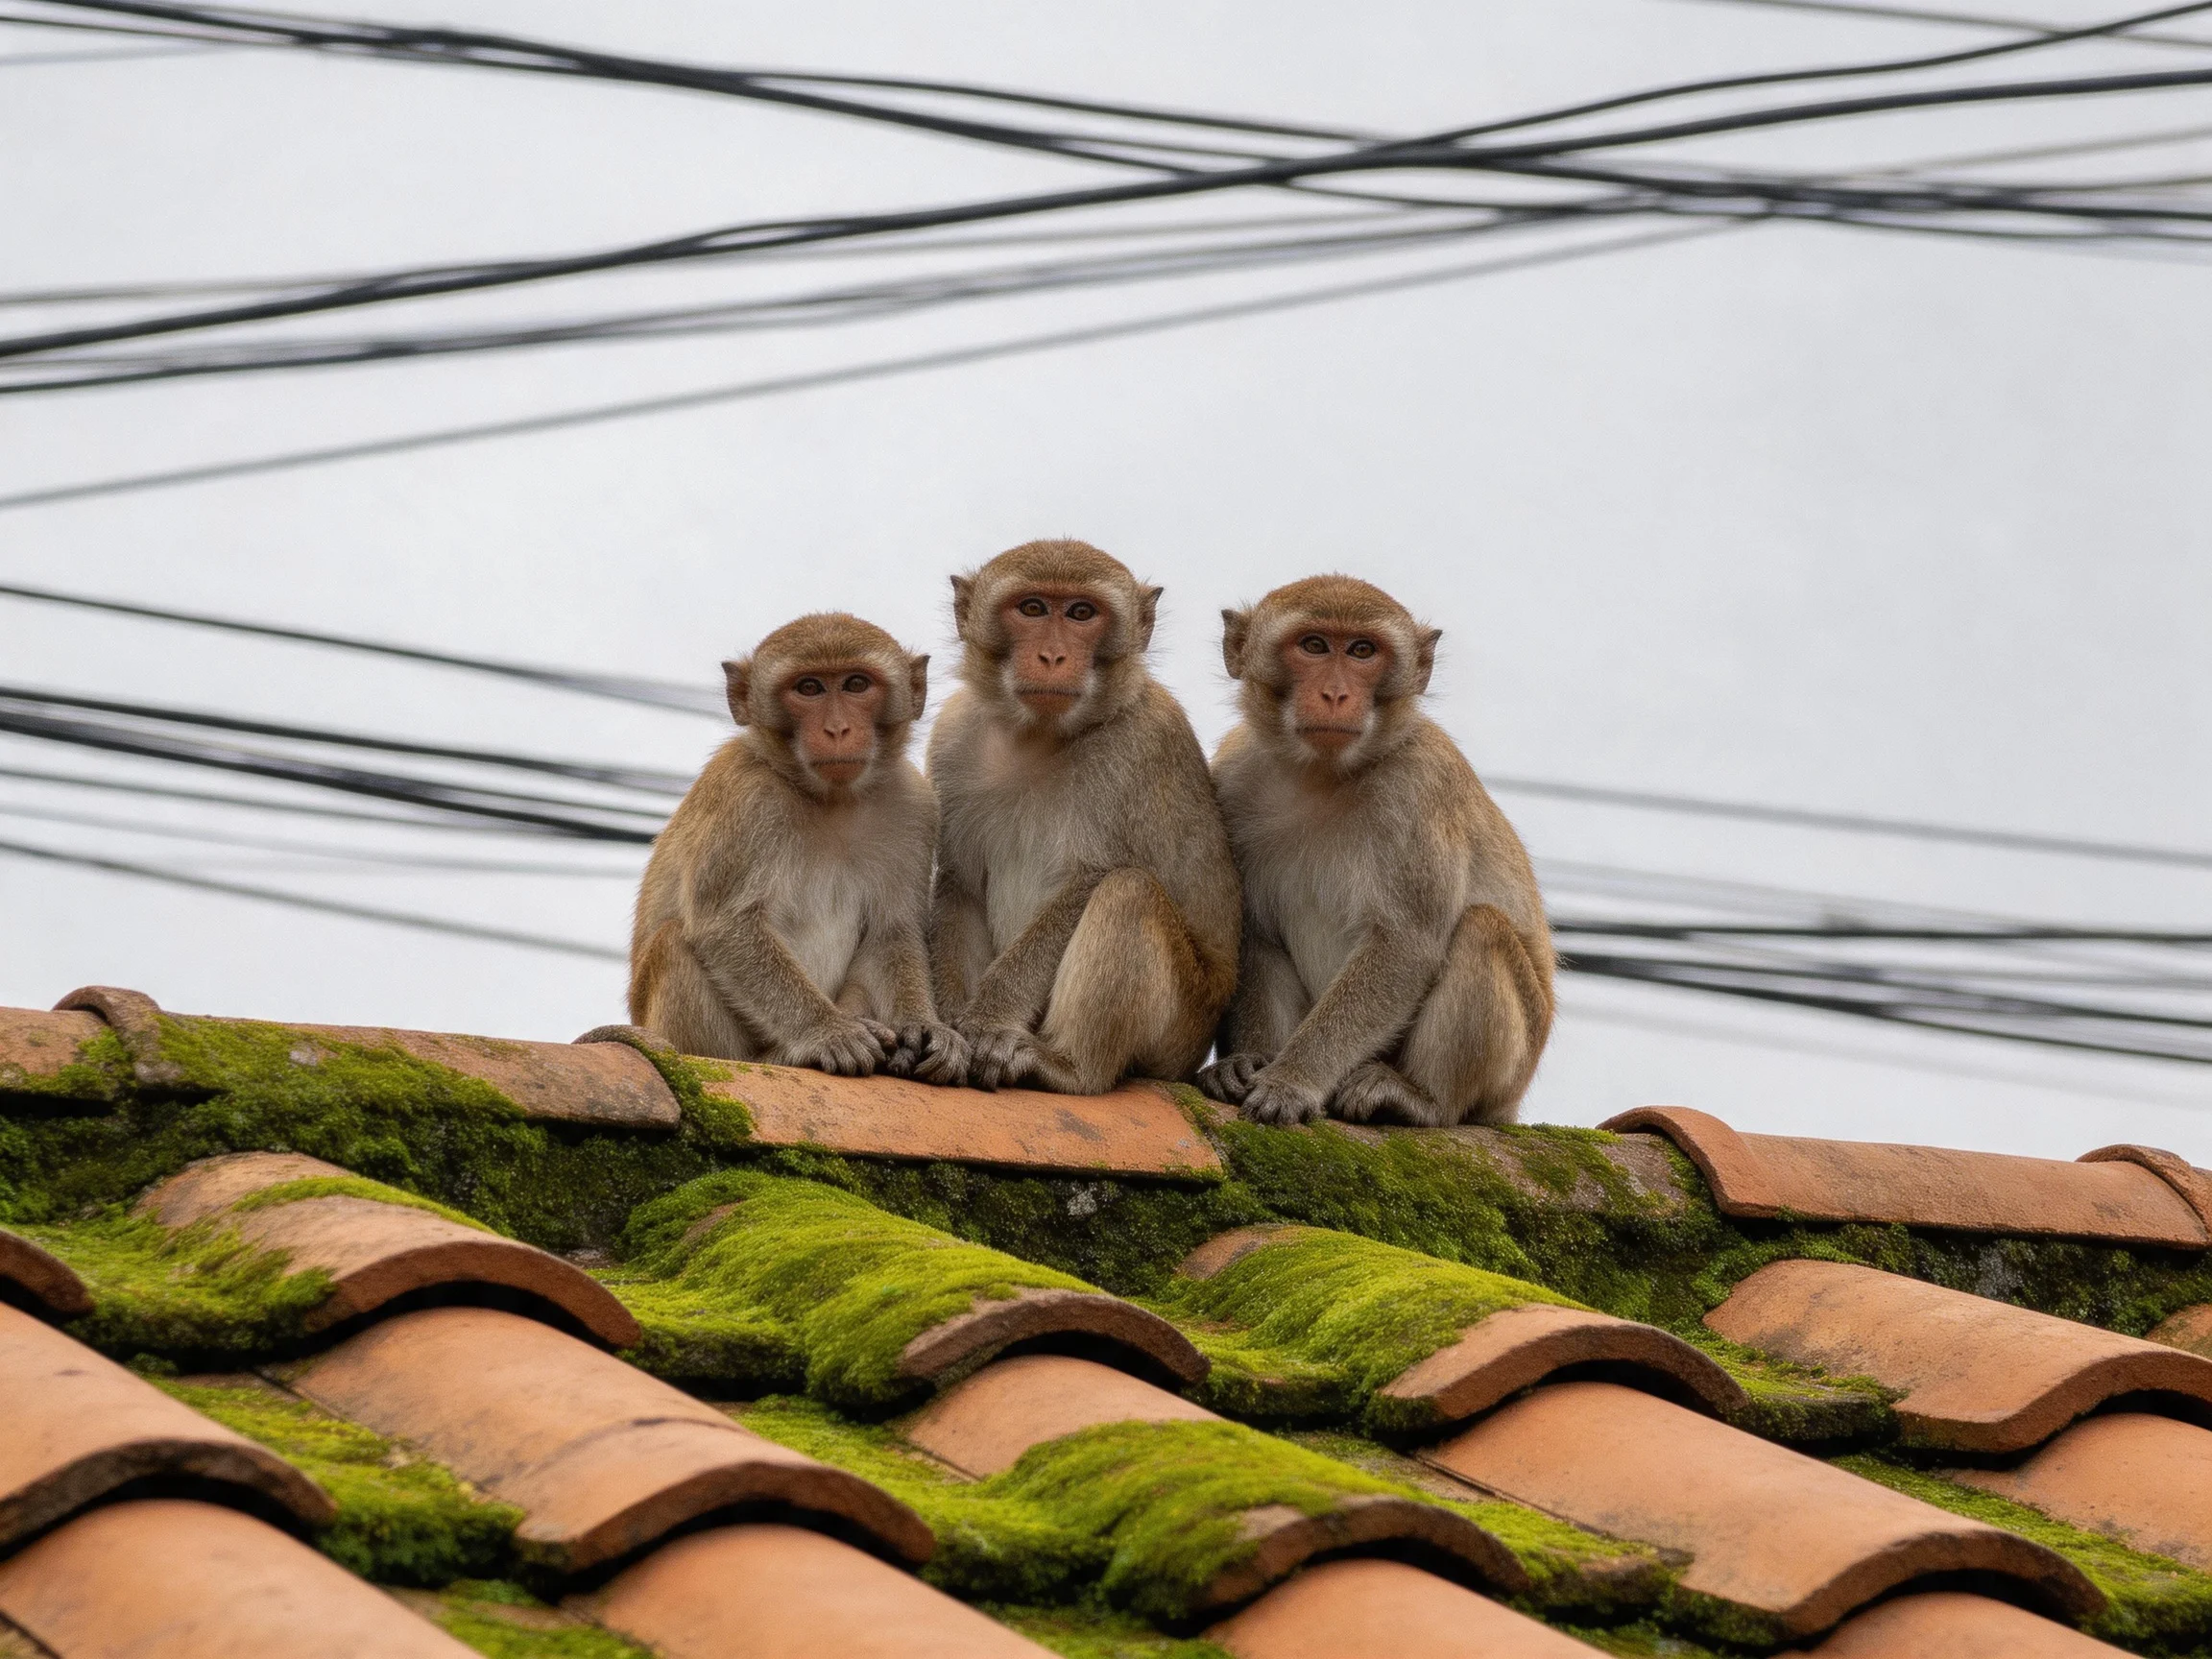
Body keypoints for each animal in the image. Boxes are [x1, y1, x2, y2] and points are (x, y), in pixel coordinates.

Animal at [628, 612, 969, 1084]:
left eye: (856, 684)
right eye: (809, 688)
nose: (838, 729)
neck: (832, 800)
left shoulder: (912, 805)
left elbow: (892, 932)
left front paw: (923, 1025)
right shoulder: (747, 797)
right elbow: (725, 924)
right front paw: (827, 1032)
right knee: (674, 942)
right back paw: (785, 1056)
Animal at [926, 539, 1241, 1095]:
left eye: (1081, 613)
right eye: (1032, 608)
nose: (1053, 656)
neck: (1038, 736)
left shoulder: (1141, 741)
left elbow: (1090, 880)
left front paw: (987, 1019)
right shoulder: (952, 739)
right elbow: (960, 888)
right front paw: (947, 1035)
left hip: (1183, 1026)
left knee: (1129, 892)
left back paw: (1069, 1066)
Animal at [1195, 575, 1555, 1128]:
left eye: (1363, 651)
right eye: (1314, 645)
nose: (1336, 693)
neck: (1322, 776)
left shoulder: (1419, 787)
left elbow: (1405, 944)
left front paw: (1290, 1079)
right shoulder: (1234, 777)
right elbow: (1257, 933)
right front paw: (1247, 1062)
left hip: (1508, 1073)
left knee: (1482, 929)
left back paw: (1423, 1099)